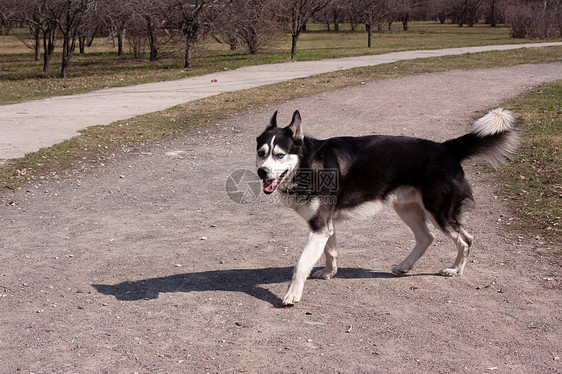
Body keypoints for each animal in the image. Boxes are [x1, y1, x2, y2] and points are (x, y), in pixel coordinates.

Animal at [256, 109, 520, 306]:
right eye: (261, 153)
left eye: (280, 155)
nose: (261, 171)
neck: (307, 164)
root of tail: (446, 147)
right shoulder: (324, 226)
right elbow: (331, 252)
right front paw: (330, 273)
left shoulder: (319, 226)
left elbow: (301, 265)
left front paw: (292, 294)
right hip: (407, 209)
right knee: (426, 237)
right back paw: (404, 266)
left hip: (439, 212)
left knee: (466, 239)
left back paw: (455, 270)